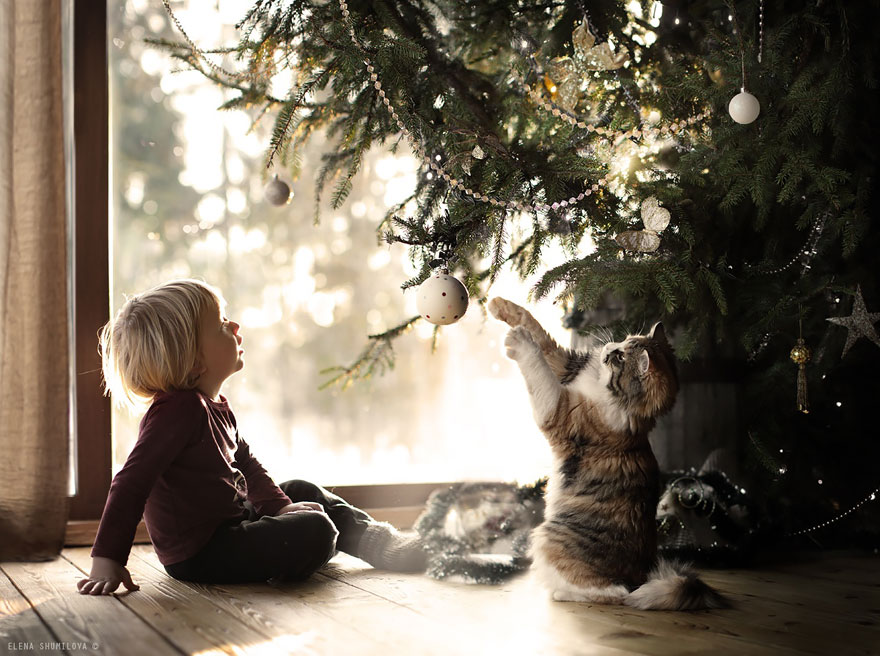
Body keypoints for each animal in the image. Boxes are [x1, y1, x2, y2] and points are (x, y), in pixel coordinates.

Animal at [488, 298, 728, 608]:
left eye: (621, 357)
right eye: (624, 341)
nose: (608, 347)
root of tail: (641, 577)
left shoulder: (560, 411)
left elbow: (537, 363)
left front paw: (519, 341)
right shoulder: (567, 365)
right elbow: (539, 334)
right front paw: (502, 307)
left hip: (548, 536)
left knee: (615, 594)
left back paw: (562, 594)